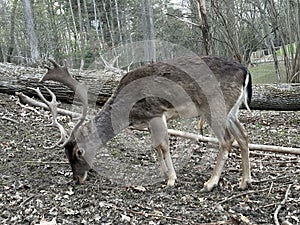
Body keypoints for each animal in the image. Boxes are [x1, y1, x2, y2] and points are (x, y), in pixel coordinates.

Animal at [34, 56, 251, 192]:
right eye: (65, 153)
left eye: (79, 151)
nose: (77, 179)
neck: (128, 113)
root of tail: (245, 71)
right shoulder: (148, 121)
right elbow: (155, 146)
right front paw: (162, 172)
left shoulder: (155, 113)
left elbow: (163, 145)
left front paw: (171, 179)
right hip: (232, 111)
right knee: (243, 135)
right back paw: (245, 181)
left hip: (213, 105)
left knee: (227, 139)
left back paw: (210, 183)